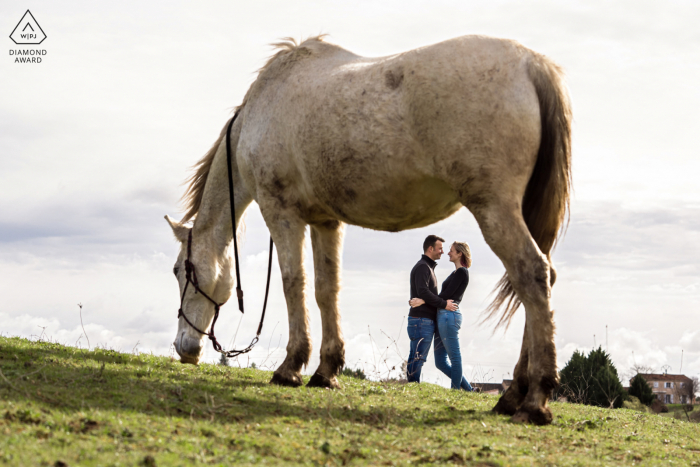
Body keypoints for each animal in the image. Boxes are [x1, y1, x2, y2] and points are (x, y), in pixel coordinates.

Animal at [167, 34, 572, 426]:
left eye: (178, 271)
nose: (184, 348)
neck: (263, 107)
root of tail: (532, 64)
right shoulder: (325, 221)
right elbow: (327, 289)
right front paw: (326, 371)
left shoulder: (281, 212)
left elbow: (293, 282)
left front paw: (290, 367)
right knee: (539, 283)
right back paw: (512, 396)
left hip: (494, 208)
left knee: (532, 275)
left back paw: (534, 401)